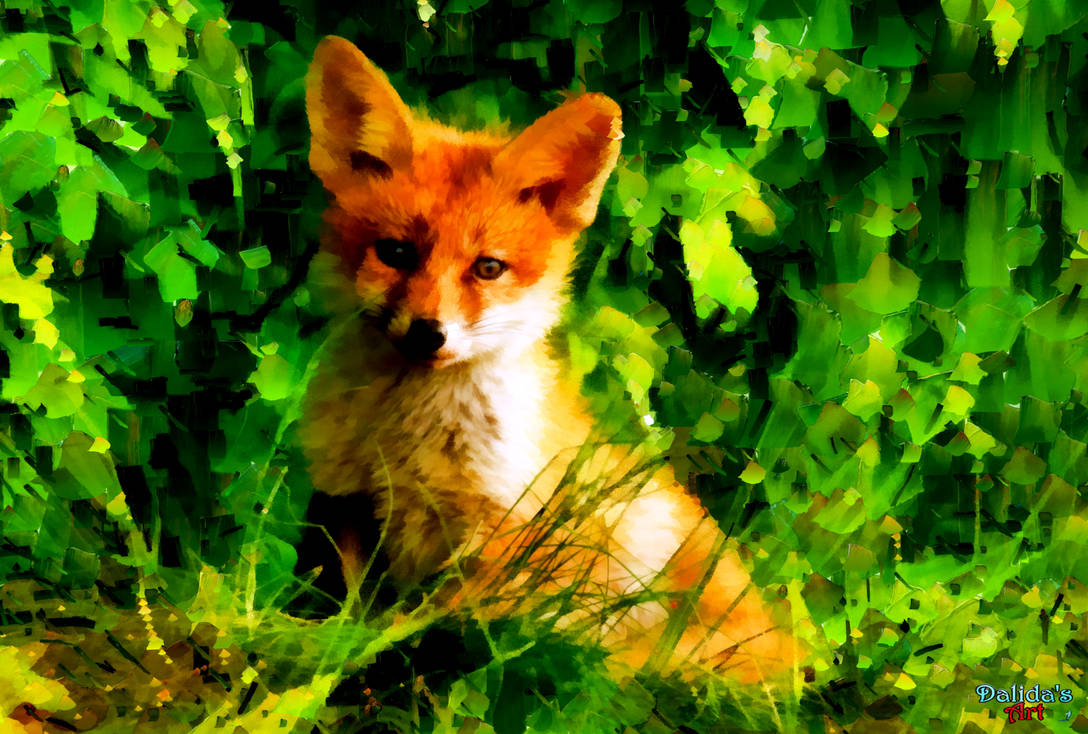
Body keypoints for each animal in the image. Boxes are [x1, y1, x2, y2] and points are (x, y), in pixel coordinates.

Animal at [299, 36, 796, 684]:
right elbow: (346, 618)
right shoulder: (348, 503)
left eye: (488, 268)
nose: (429, 334)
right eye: (397, 253)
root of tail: (800, 663)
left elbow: (429, 632)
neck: (406, 440)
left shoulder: (502, 530)